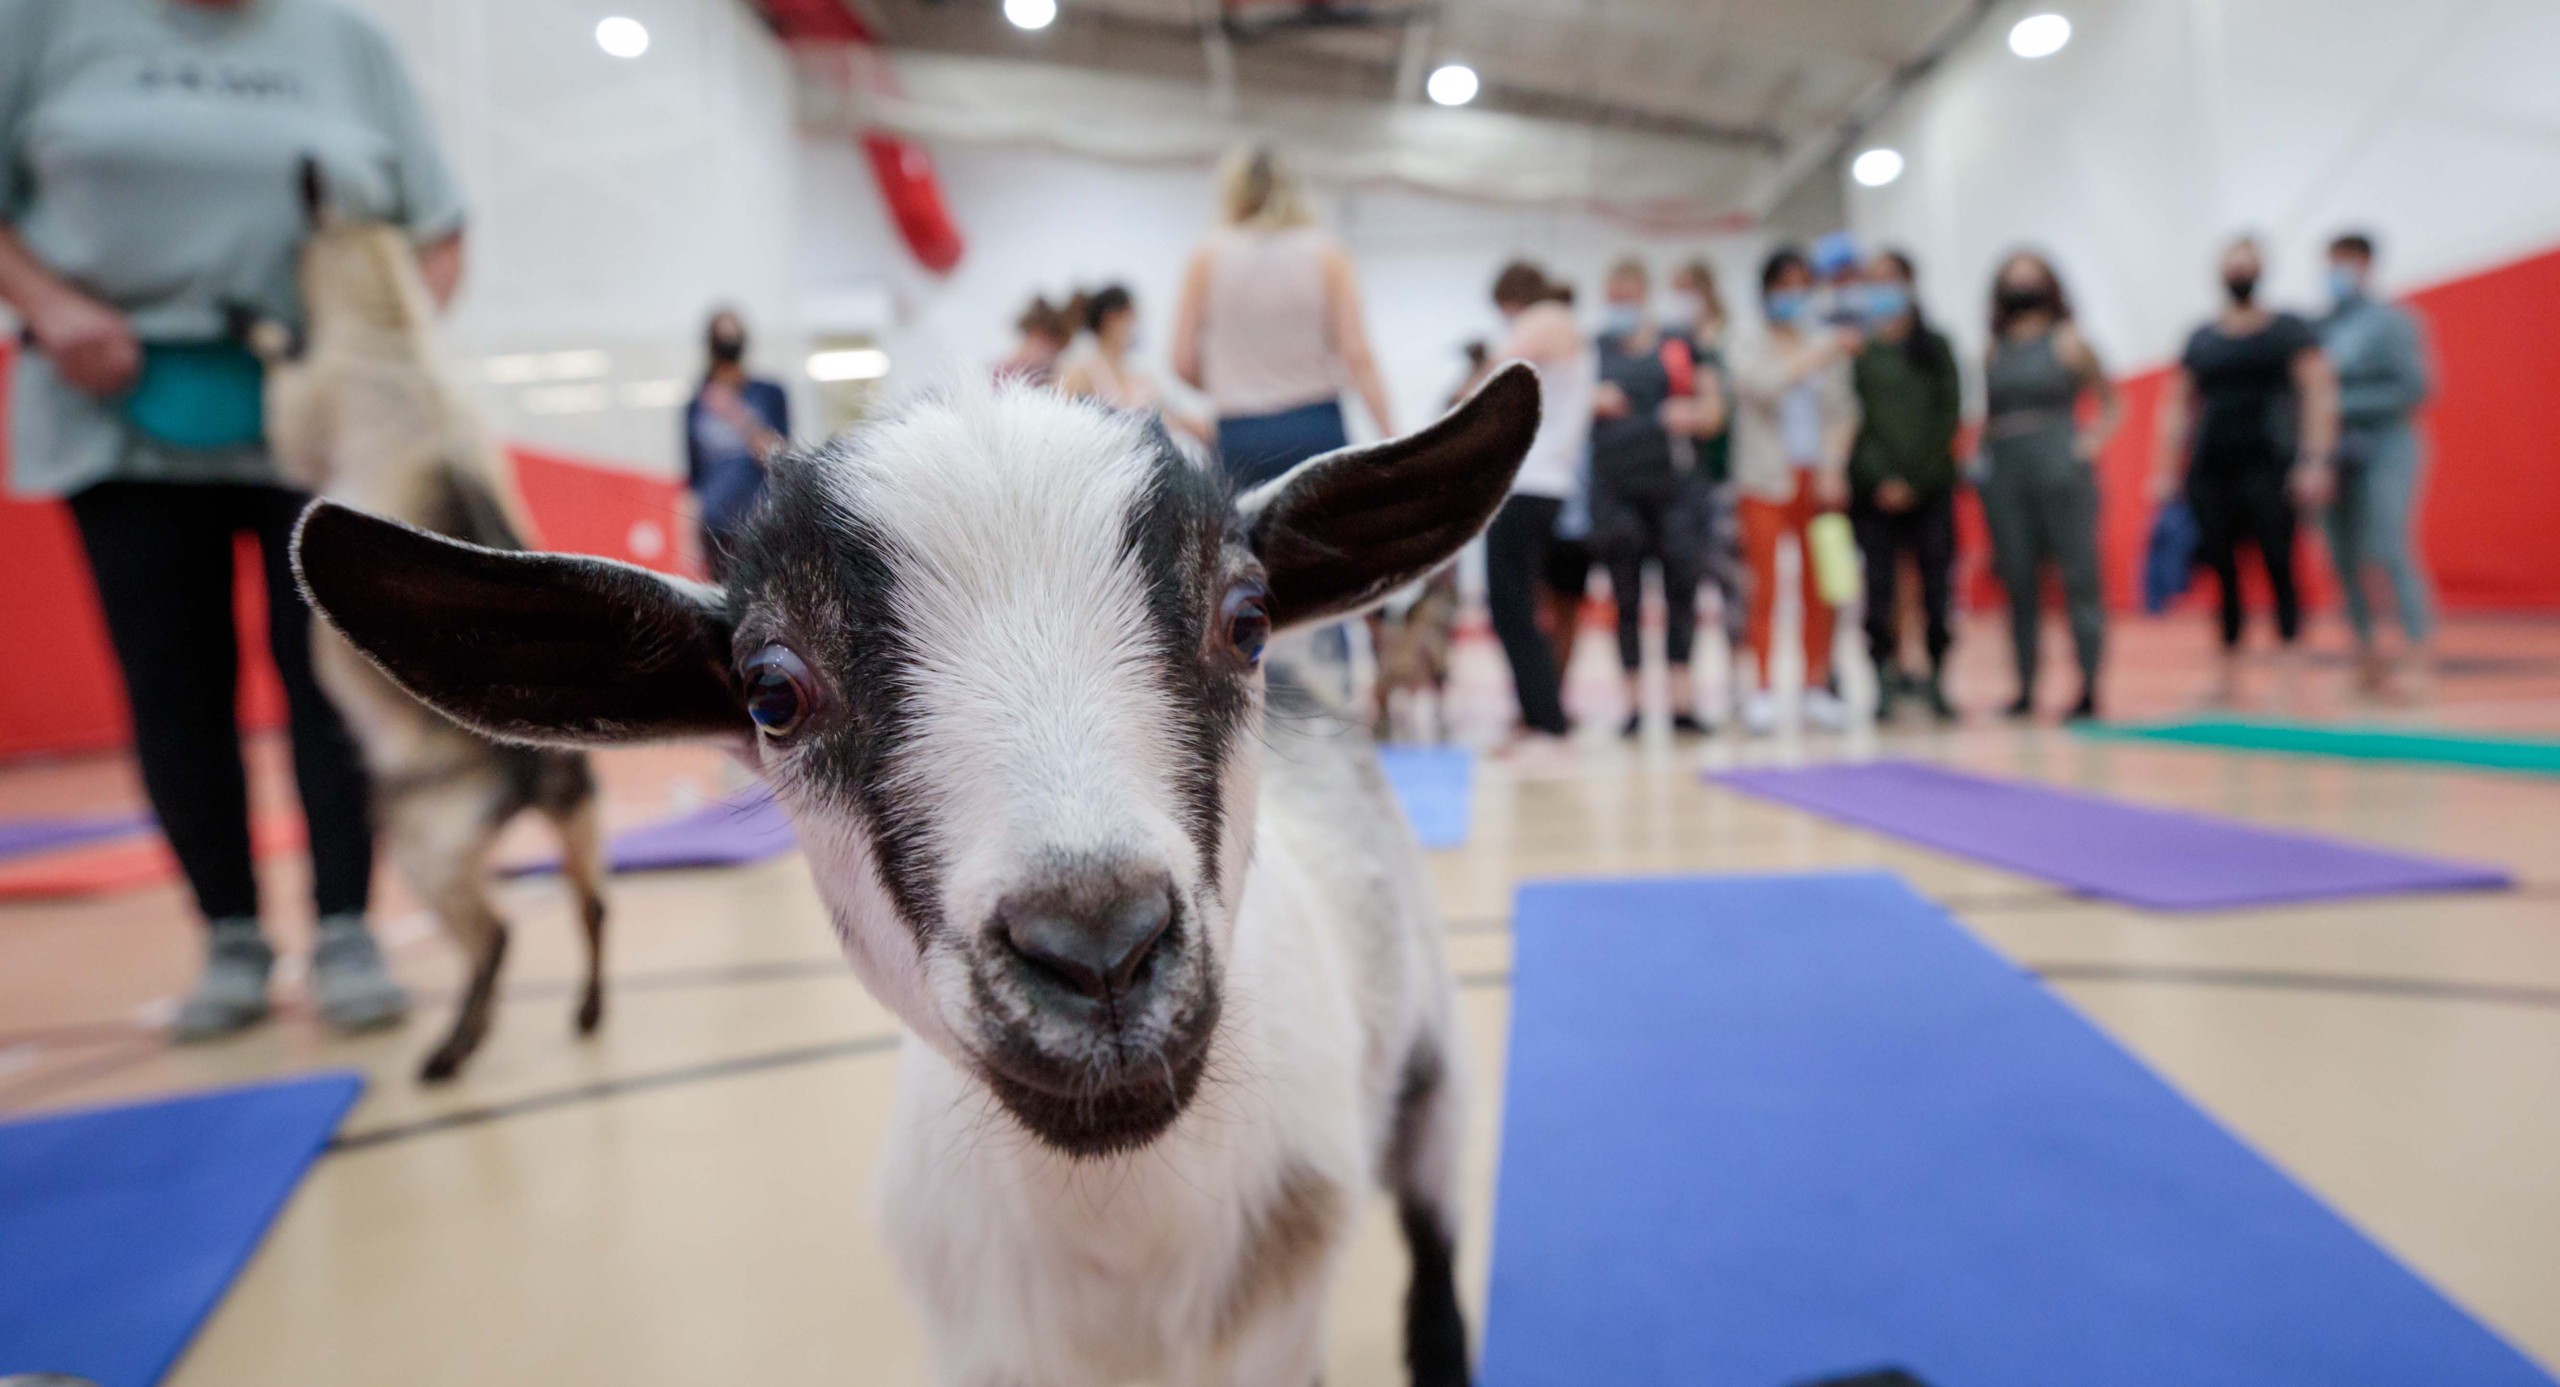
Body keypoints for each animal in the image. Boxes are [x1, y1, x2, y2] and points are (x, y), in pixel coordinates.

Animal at [259, 175, 608, 1082]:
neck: (397, 331)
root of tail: (536, 761)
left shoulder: (300, 411)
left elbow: (278, 384)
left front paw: (253, 327)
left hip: (423, 851)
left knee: (495, 935)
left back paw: (453, 1048)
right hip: (578, 821)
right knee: (591, 904)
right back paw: (585, 1012)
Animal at [290, 364, 1541, 1385]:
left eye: (1246, 620)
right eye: (772, 696)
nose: (1099, 950)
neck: (1123, 1241)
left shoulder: (1274, 1335)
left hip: (1430, 1055)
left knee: (1433, 1237)